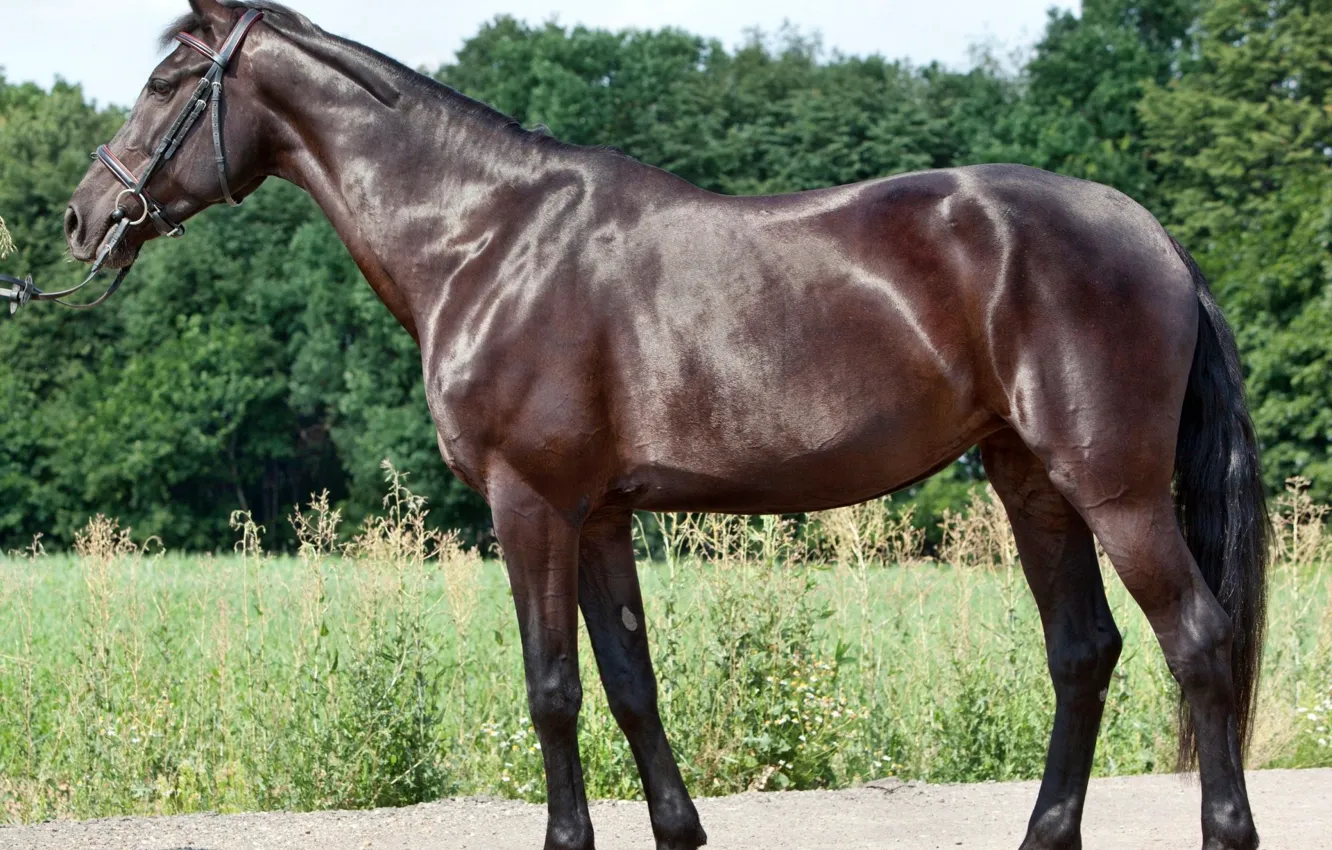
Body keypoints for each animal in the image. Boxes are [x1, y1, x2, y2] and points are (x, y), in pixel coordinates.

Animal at [62, 2, 1269, 848]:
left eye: (168, 80)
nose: (84, 217)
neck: (486, 238)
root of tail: (1152, 235)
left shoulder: (531, 505)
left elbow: (553, 689)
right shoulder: (598, 516)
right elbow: (631, 684)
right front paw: (680, 830)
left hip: (1115, 490)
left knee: (1198, 642)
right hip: (1032, 483)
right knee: (1085, 651)